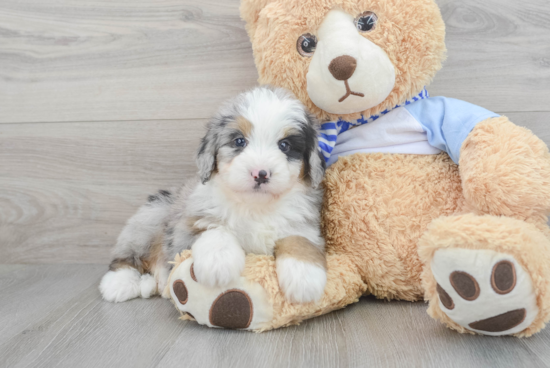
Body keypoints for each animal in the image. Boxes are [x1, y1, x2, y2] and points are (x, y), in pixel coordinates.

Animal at [99, 86, 328, 304]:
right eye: (239, 141)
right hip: (153, 215)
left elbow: (299, 241)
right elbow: (214, 229)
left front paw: (305, 279)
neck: (255, 206)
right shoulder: (188, 225)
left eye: (285, 145)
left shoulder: (303, 225)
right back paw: (119, 284)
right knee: (127, 258)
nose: (260, 174)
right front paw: (218, 263)